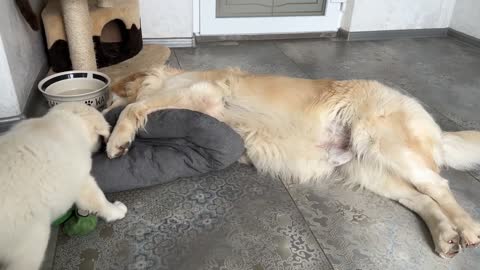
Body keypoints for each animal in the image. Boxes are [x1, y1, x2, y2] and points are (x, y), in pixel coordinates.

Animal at [105, 66, 480, 260]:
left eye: (106, 99)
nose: (98, 115)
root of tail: (435, 126)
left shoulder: (202, 94)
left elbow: (134, 107)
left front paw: (116, 140)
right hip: (369, 170)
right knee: (421, 198)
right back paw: (445, 235)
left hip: (388, 145)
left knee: (439, 186)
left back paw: (467, 228)